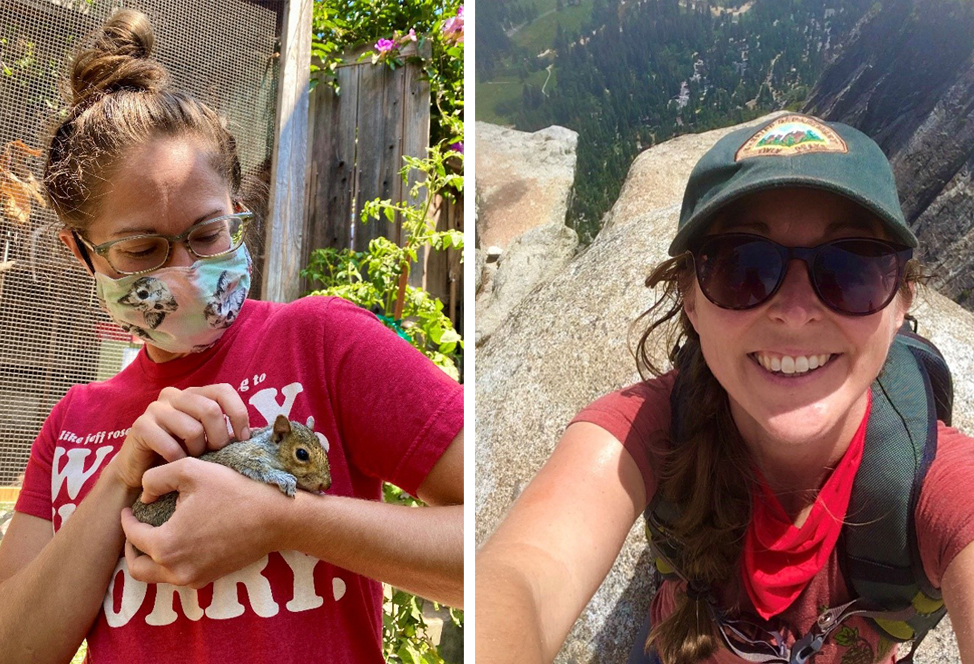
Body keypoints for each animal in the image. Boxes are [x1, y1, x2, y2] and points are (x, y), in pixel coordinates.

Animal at [132, 416, 334, 536]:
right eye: (302, 454)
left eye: (325, 448)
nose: (327, 484)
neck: (269, 447)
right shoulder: (241, 454)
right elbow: (257, 467)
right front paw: (283, 478)